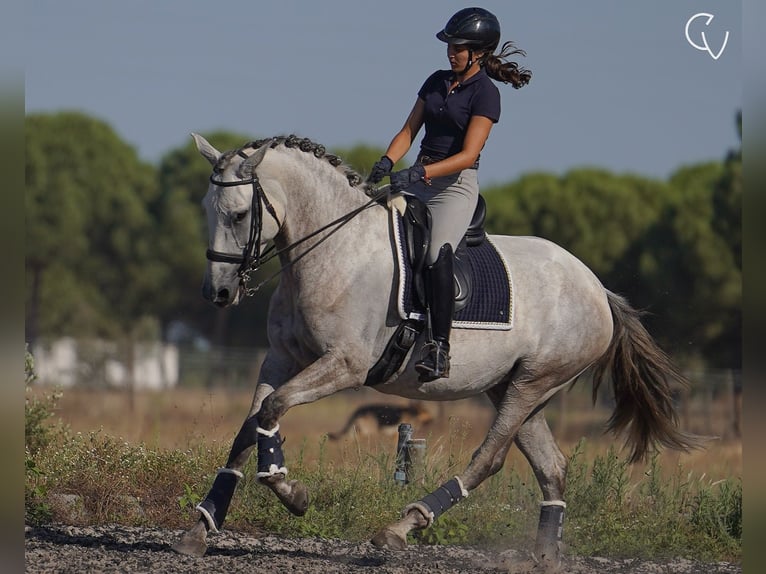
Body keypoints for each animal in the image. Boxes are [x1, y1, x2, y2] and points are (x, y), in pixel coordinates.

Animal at [171, 134, 700, 568]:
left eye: (240, 214)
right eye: (205, 208)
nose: (217, 293)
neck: (333, 251)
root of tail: (597, 288)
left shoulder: (344, 366)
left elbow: (273, 410)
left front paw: (291, 492)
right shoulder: (281, 357)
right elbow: (250, 426)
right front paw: (201, 528)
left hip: (533, 384)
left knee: (489, 460)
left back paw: (401, 527)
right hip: (514, 387)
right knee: (552, 468)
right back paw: (545, 559)